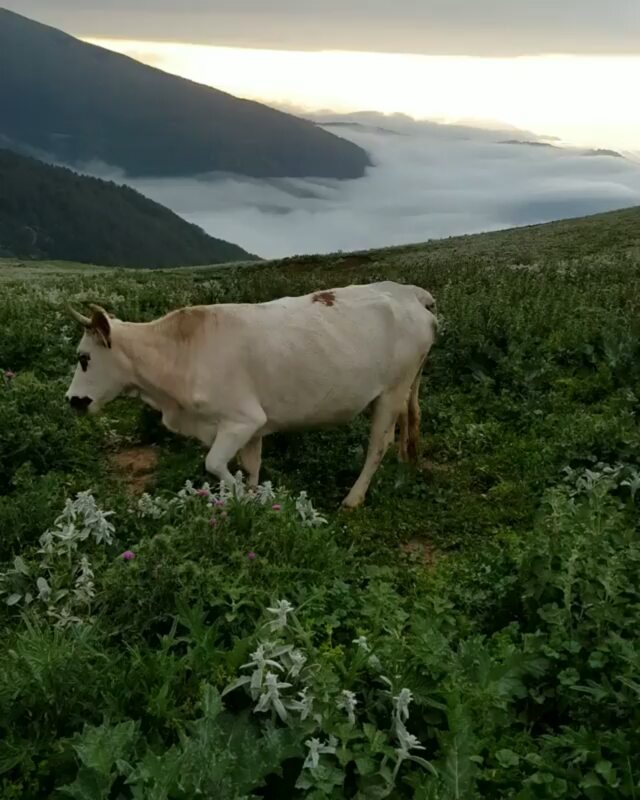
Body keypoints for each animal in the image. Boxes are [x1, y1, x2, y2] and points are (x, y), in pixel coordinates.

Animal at [66, 282, 436, 506]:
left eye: (84, 358)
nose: (72, 400)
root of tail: (410, 292)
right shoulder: (254, 427)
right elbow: (252, 469)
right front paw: (254, 503)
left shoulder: (241, 420)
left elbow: (215, 463)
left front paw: (240, 497)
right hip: (406, 388)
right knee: (409, 423)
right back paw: (403, 474)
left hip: (391, 391)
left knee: (378, 444)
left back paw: (353, 498)